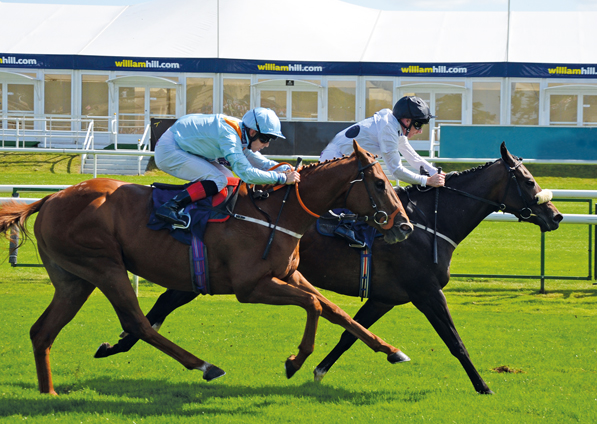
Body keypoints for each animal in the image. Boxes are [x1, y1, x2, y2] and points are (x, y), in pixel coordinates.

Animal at [0, 142, 412, 394]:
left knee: (43, 332)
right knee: (137, 322)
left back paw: (49, 391)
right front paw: (295, 361)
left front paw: (392, 350)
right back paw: (205, 366)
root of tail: (51, 198)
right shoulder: (251, 287)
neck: (277, 213)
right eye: (379, 183)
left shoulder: (289, 274)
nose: (404, 225)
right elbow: (312, 306)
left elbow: (335, 310)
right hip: (104, 266)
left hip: (74, 279)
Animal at [95, 143, 560, 394]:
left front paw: (318, 369)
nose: (555, 215)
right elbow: (456, 342)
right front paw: (484, 384)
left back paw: (118, 344)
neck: (429, 224)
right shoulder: (426, 292)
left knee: (165, 303)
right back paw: (122, 344)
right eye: (528, 181)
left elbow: (349, 332)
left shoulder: (387, 297)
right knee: (165, 304)